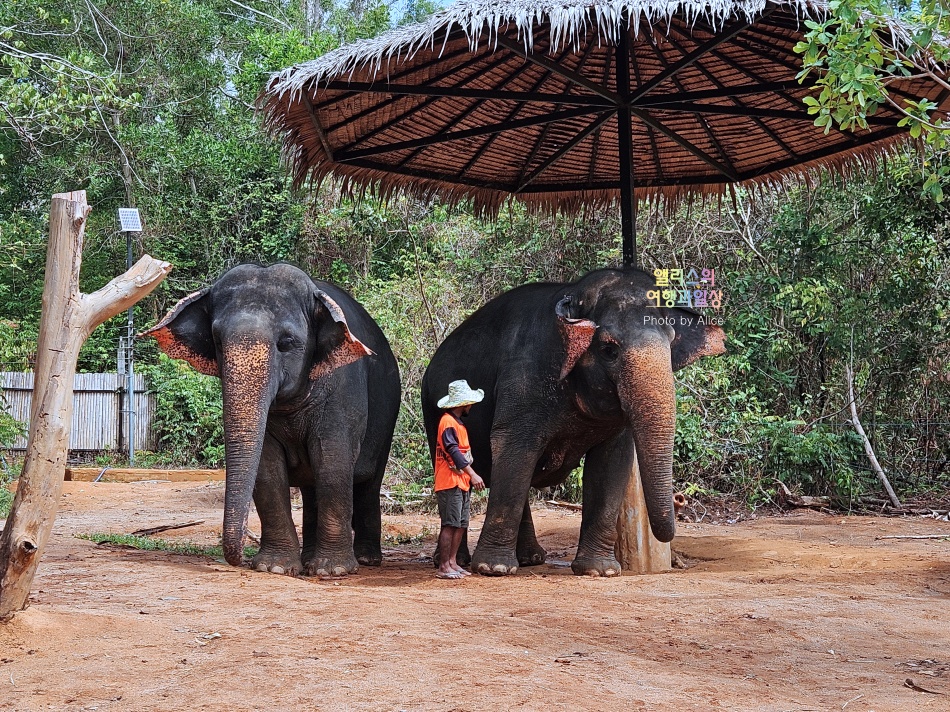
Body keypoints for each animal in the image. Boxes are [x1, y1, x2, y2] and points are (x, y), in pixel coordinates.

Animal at [144, 264, 402, 576]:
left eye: (286, 343)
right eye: (217, 341)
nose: (235, 559)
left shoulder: (342, 389)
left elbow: (333, 460)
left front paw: (331, 571)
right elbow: (266, 467)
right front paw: (275, 567)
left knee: (368, 483)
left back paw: (365, 559)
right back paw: (309, 560)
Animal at [420, 270, 724, 576]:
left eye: (671, 343)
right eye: (608, 349)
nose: (680, 500)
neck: (572, 293)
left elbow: (612, 462)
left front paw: (600, 571)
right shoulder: (524, 378)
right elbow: (513, 446)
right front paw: (493, 569)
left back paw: (531, 558)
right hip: (431, 409)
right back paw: (460, 562)